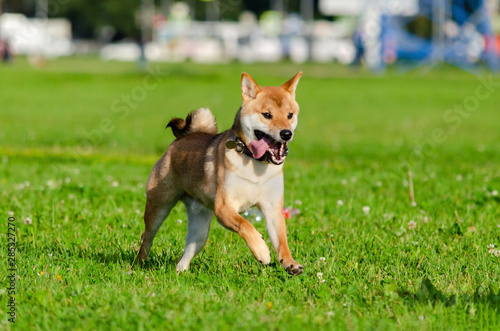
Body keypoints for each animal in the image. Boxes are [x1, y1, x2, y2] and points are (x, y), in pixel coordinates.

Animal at [135, 73, 304, 278]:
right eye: (267, 115)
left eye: (290, 115)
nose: (286, 133)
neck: (255, 164)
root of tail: (180, 140)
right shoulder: (224, 208)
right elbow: (246, 225)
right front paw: (262, 251)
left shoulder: (272, 209)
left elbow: (282, 241)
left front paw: (290, 263)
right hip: (159, 206)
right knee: (147, 236)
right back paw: (139, 263)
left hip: (200, 227)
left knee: (189, 249)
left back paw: (180, 272)